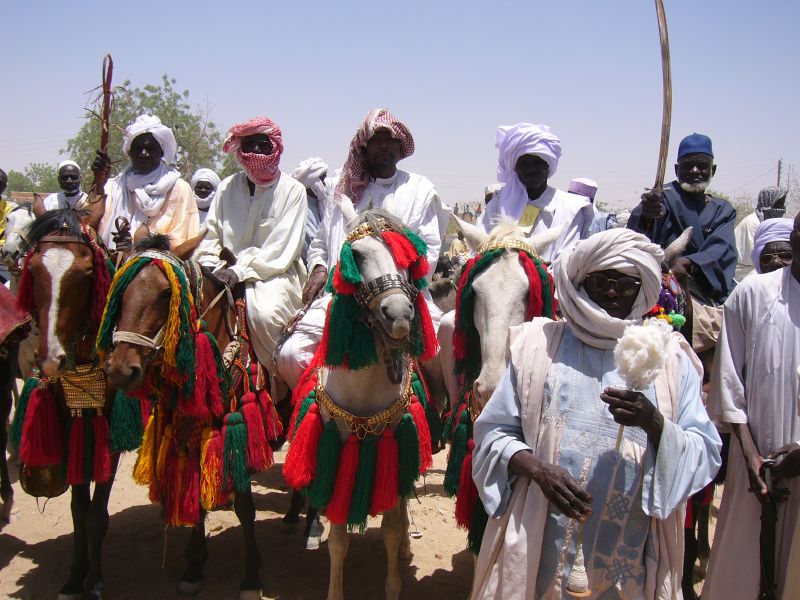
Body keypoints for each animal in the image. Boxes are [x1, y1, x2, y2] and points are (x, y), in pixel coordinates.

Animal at [101, 236, 266, 600]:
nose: (120, 369)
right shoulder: (192, 433)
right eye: (120, 290)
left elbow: (245, 508)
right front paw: (194, 566)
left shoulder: (238, 433)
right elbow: (197, 497)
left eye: (166, 293)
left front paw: (251, 577)